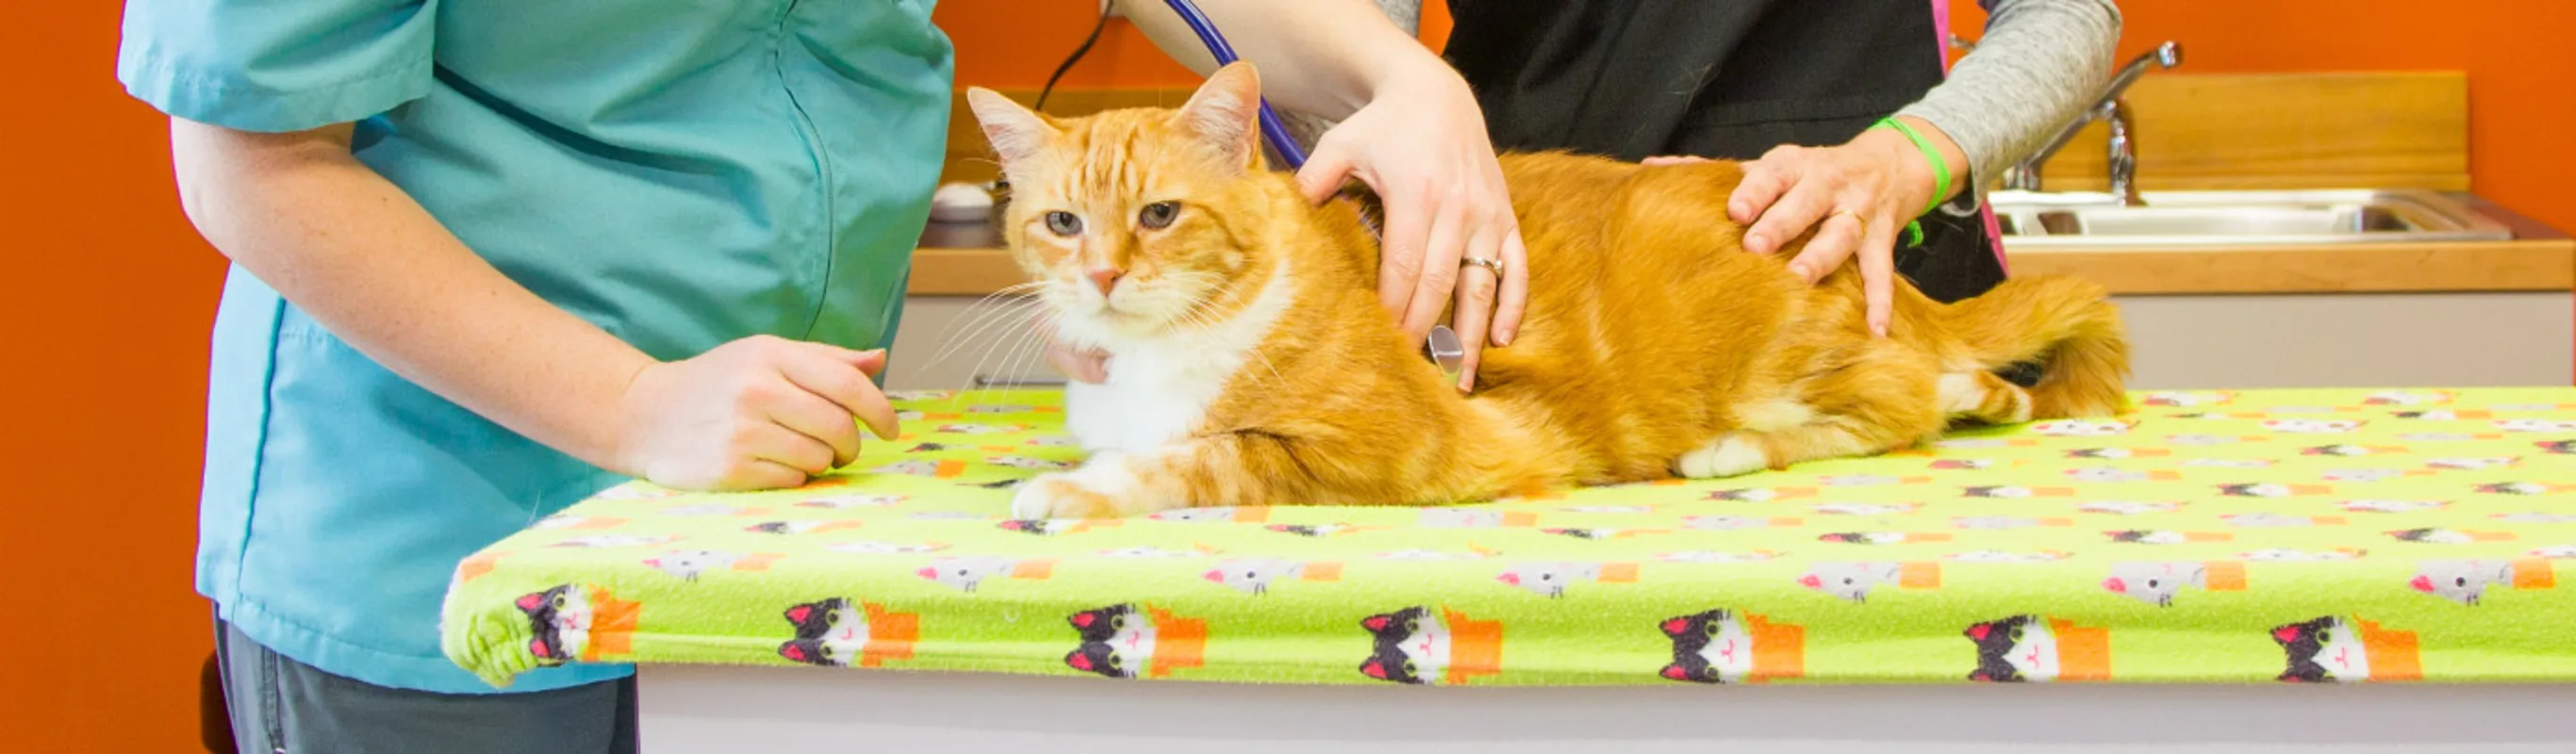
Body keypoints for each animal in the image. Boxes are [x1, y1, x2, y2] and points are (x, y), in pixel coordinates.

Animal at [968, 62, 2133, 516]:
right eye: (1061, 224)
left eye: (1160, 215)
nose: (1105, 272)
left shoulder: (1388, 451)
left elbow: (1195, 457)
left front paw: (1071, 490)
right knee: (1969, 387)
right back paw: (1980, 390)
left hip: (1787, 350)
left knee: (1894, 402)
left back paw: (1728, 448)